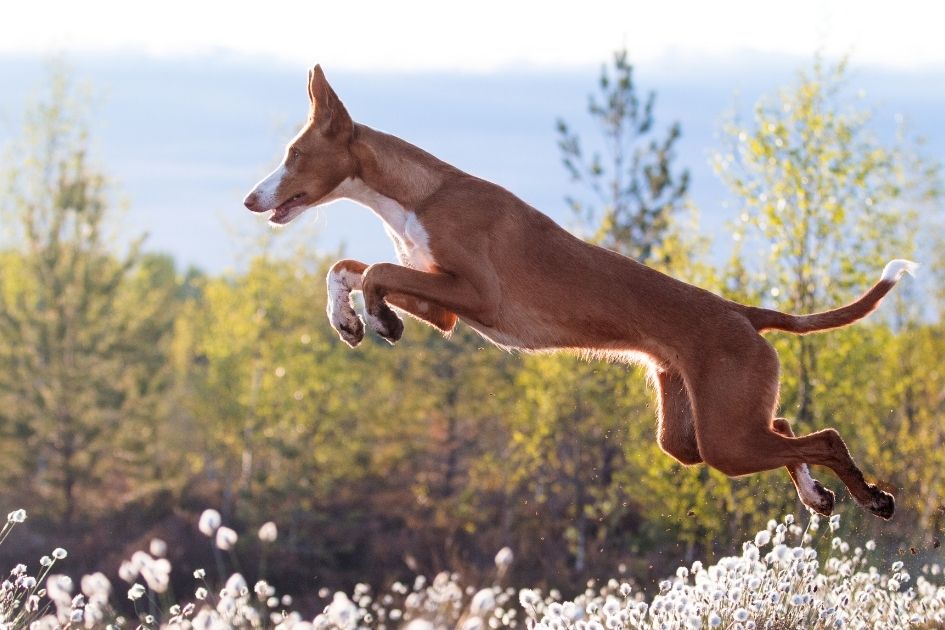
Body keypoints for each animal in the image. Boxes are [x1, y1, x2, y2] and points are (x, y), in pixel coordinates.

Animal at [243, 65, 916, 524]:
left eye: (294, 154)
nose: (250, 199)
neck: (420, 196)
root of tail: (745, 313)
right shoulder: (447, 308)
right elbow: (347, 268)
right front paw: (350, 320)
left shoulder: (476, 294)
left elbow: (376, 270)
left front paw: (378, 319)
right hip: (694, 434)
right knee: (785, 427)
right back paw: (817, 492)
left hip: (724, 437)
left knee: (824, 438)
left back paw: (872, 496)